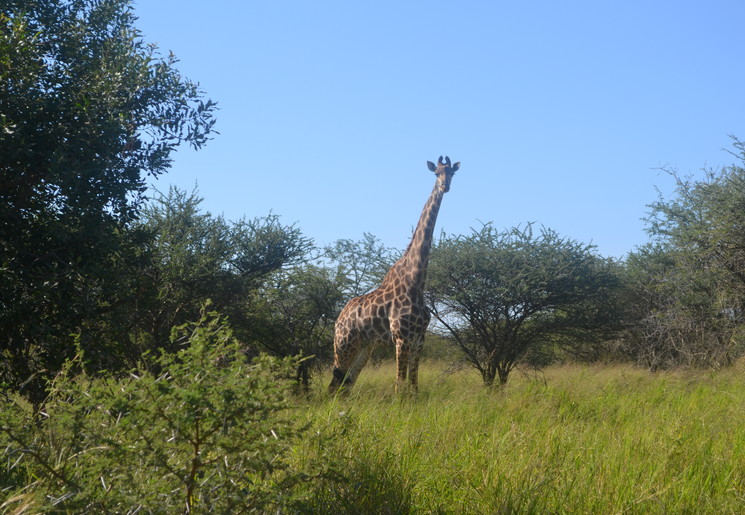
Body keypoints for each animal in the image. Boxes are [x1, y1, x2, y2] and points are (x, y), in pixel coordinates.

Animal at [326, 155, 460, 394]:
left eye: (452, 173)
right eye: (437, 173)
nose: (445, 186)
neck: (416, 282)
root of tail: (339, 318)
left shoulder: (419, 339)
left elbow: (414, 385)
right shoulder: (401, 337)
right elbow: (400, 384)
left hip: (365, 346)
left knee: (347, 383)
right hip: (344, 343)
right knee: (334, 383)